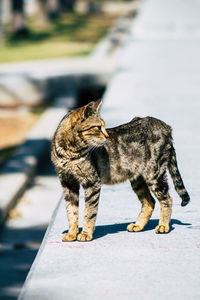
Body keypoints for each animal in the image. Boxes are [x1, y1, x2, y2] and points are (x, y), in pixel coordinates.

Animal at [51, 100, 189, 241]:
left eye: (104, 126)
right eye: (98, 127)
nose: (107, 136)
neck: (69, 152)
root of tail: (166, 127)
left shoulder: (91, 182)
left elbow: (89, 212)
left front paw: (85, 233)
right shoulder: (68, 183)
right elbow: (71, 212)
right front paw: (72, 234)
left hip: (154, 173)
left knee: (167, 199)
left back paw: (163, 226)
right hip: (138, 179)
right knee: (150, 202)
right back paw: (138, 225)